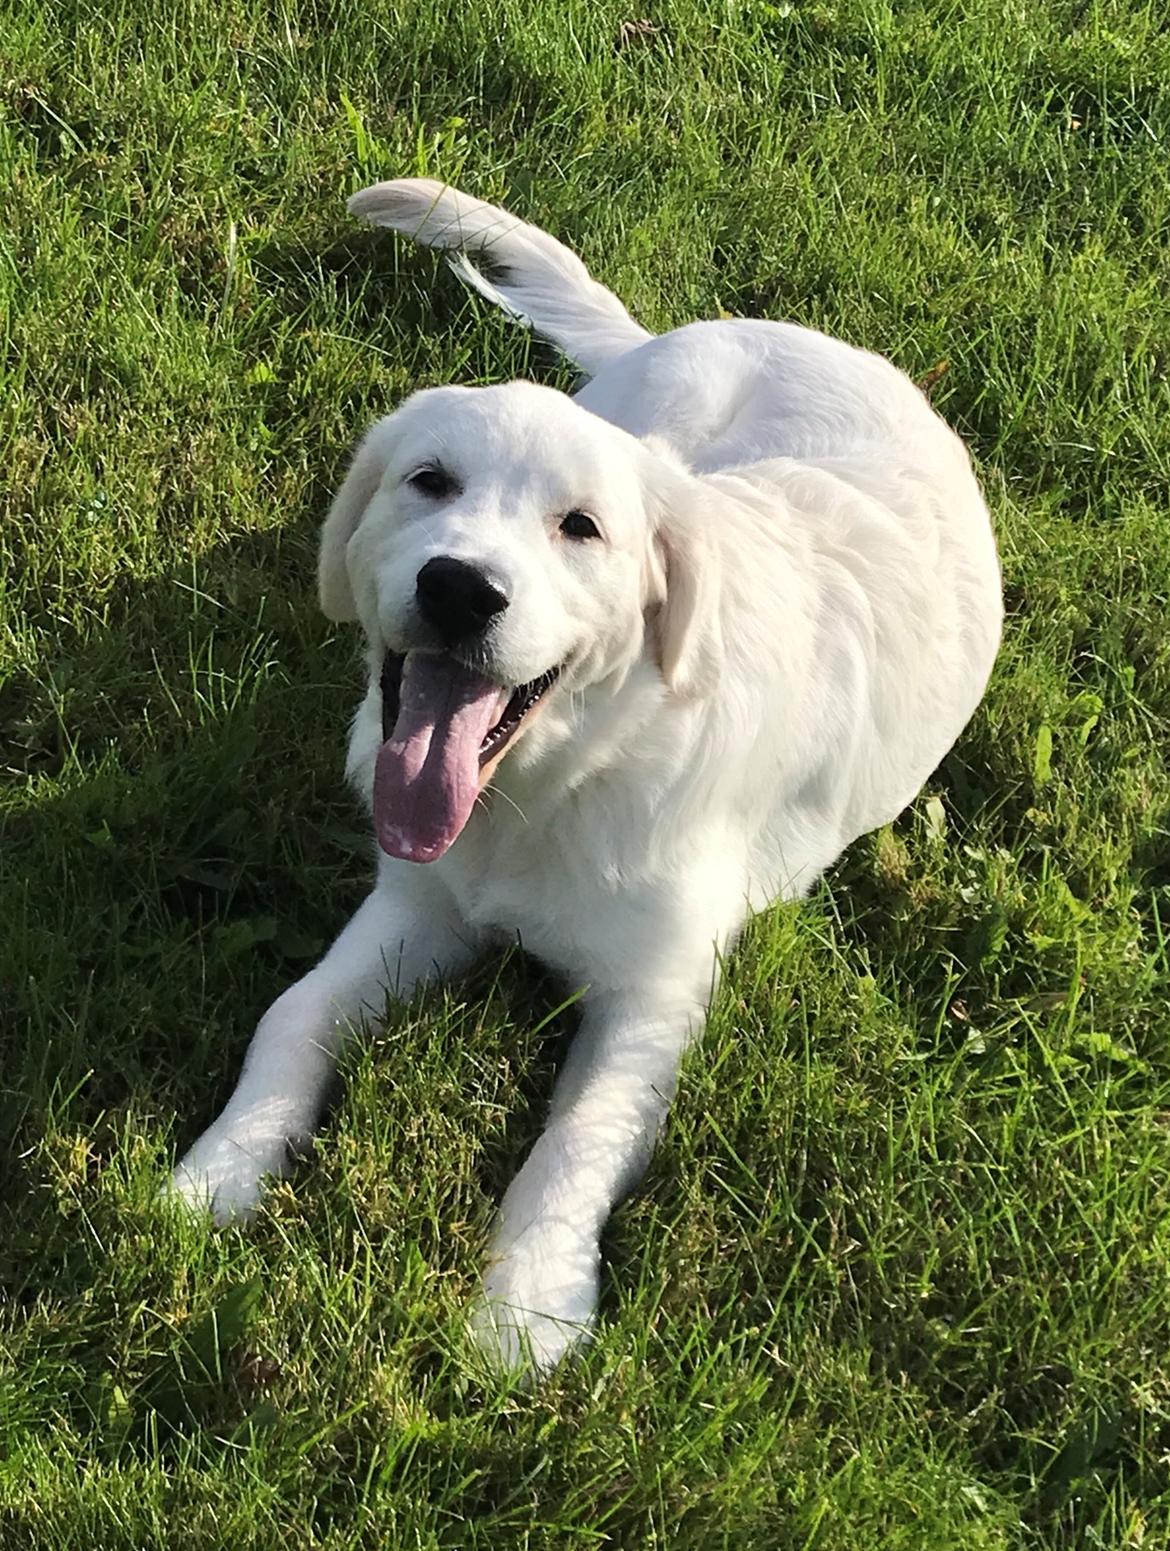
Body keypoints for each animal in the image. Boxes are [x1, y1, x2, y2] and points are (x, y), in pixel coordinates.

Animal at [170, 178, 993, 1371]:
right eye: (429, 481)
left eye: (581, 529)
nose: (461, 588)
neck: (551, 788)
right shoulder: (420, 904)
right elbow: (293, 1011)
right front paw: (222, 1168)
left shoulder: (655, 994)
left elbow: (580, 1132)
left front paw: (527, 1303)